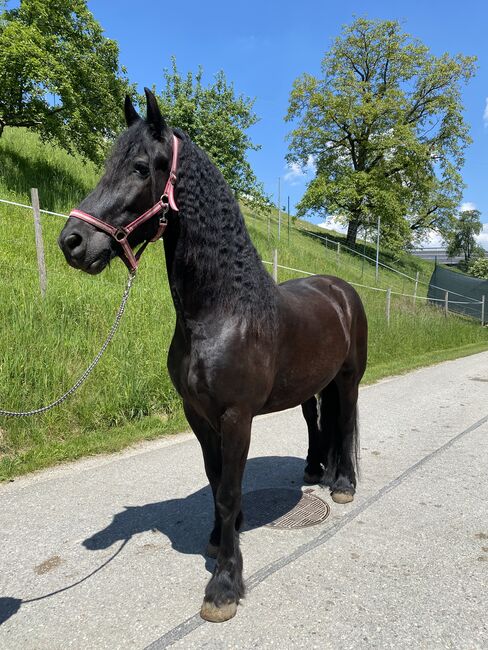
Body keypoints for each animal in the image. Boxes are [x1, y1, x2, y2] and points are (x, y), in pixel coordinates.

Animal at [59, 88, 368, 620]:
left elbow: (227, 490)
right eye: (108, 163)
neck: (222, 312)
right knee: (316, 423)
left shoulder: (236, 415)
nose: (72, 242)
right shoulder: (197, 414)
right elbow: (214, 476)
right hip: (313, 385)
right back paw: (315, 470)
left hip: (349, 379)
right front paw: (219, 537)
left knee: (345, 422)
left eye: (140, 167)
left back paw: (343, 484)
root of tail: (340, 289)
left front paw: (224, 584)